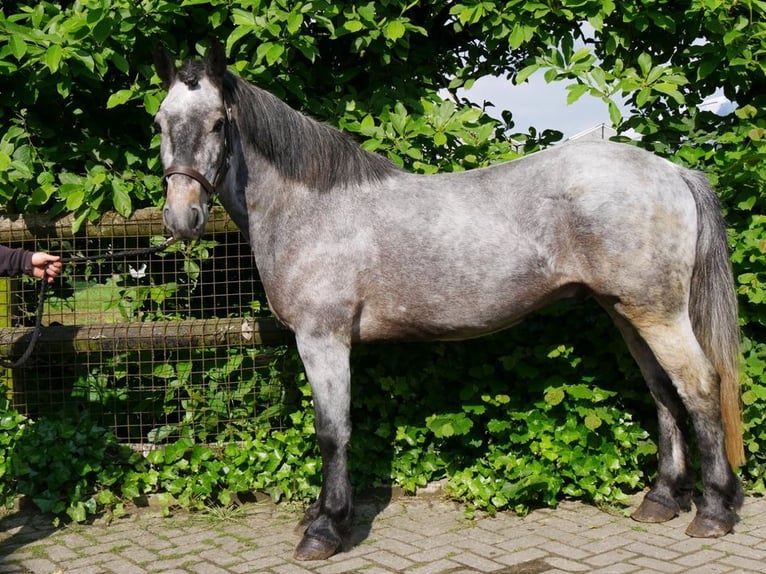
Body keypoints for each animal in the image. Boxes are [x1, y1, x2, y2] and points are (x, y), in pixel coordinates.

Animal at [153, 44, 748, 564]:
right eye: (159, 122)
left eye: (217, 124)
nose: (182, 218)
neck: (311, 208)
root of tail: (673, 172)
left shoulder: (323, 338)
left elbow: (332, 431)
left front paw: (325, 530)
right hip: (626, 311)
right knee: (664, 392)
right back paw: (662, 500)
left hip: (658, 314)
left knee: (699, 387)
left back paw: (714, 512)